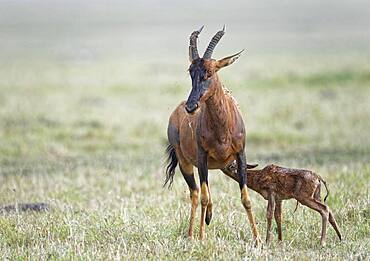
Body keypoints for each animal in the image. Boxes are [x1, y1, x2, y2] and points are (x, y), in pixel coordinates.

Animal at [165, 26, 260, 242]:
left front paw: (258, 239)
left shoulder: (240, 155)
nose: (191, 106)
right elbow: (204, 197)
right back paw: (192, 234)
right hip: (186, 163)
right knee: (195, 194)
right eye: (190, 71)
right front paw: (201, 236)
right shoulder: (202, 158)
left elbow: (246, 198)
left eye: (209, 72)